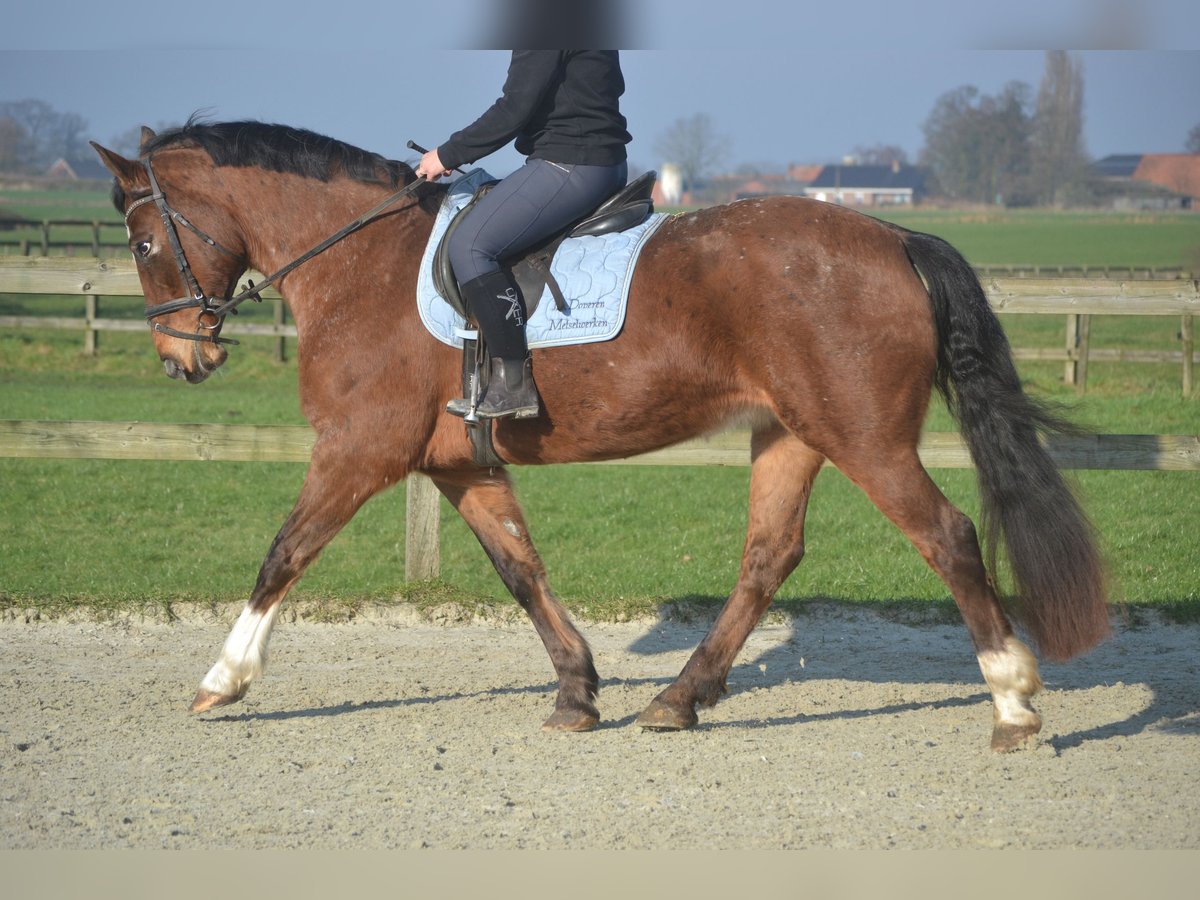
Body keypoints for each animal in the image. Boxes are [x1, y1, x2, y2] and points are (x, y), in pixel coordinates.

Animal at [88, 120, 1108, 753]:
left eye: (142, 244)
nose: (183, 359)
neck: (360, 262)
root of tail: (893, 236)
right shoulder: (457, 467)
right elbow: (521, 571)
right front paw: (578, 693)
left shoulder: (357, 451)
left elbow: (283, 554)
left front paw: (224, 678)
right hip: (790, 434)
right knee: (768, 557)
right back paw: (678, 699)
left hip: (865, 439)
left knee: (948, 538)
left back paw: (1013, 702)